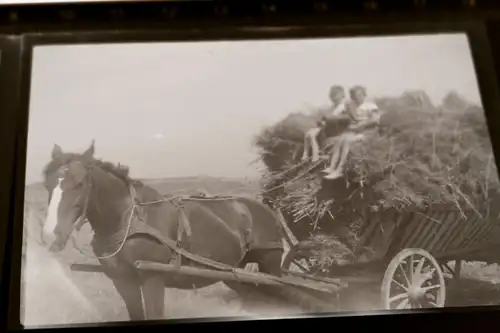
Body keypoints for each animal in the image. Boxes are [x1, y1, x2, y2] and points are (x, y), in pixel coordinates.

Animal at [42, 140, 286, 320]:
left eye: (80, 184)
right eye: (47, 184)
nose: (50, 235)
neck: (127, 220)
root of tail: (267, 209)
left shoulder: (153, 280)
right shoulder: (122, 281)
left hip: (271, 266)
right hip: (236, 272)